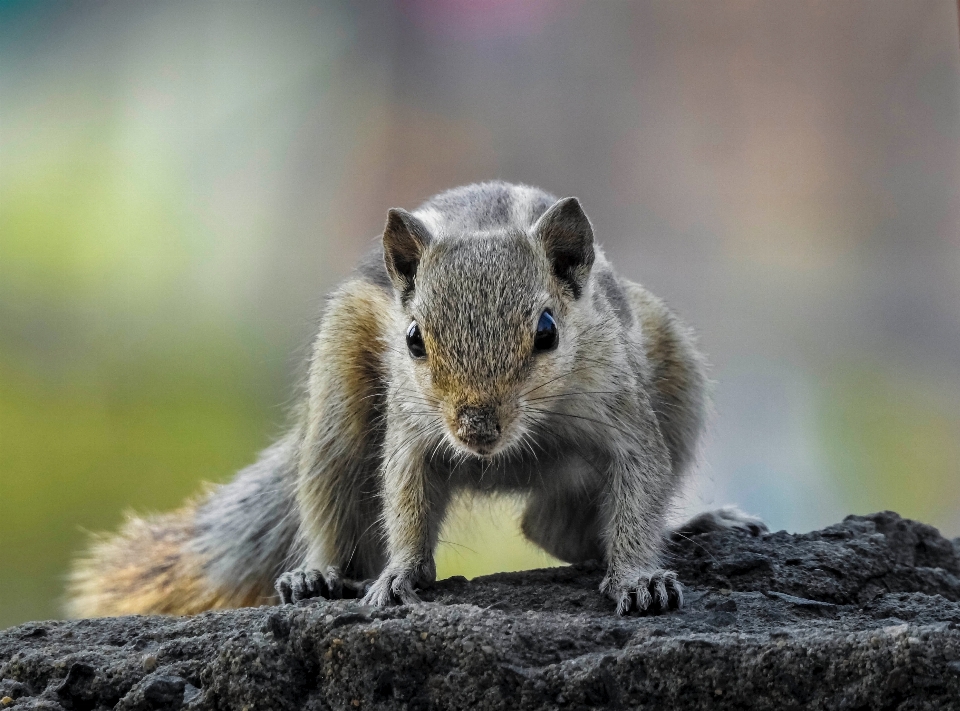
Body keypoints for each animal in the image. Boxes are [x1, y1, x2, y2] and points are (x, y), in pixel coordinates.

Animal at [65, 179, 764, 616]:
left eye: (547, 331)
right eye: (413, 339)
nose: (476, 430)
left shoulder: (625, 415)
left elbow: (639, 490)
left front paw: (641, 577)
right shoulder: (412, 430)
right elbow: (402, 497)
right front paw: (400, 573)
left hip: (678, 376)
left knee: (551, 527)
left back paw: (694, 525)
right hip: (338, 400)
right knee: (335, 496)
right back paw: (319, 573)